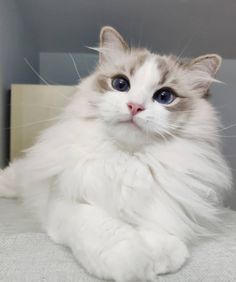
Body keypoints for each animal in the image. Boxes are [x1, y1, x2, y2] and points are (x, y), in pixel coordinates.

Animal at [0, 25, 232, 280]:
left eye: (164, 96)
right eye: (121, 84)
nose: (135, 106)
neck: (127, 160)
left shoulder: (166, 208)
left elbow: (164, 237)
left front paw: (158, 259)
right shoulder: (67, 203)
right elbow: (109, 232)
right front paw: (135, 264)